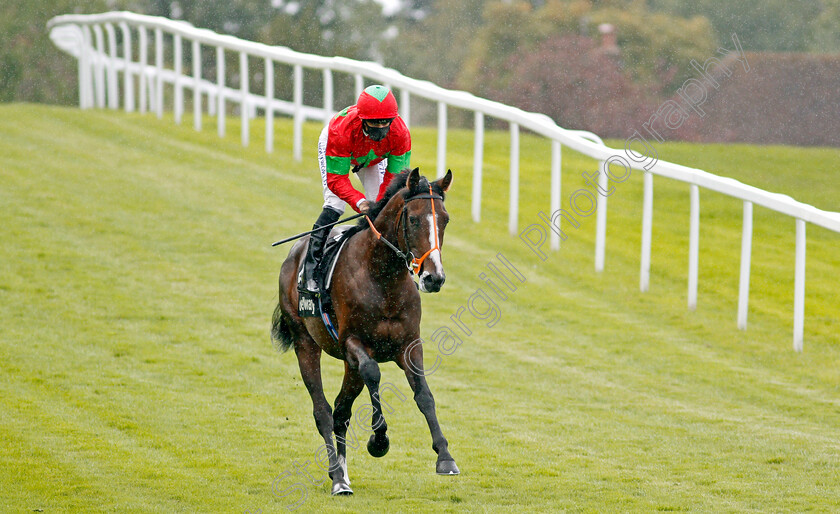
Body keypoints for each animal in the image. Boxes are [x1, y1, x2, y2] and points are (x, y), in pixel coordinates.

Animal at [270, 167, 460, 492]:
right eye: (413, 219)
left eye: (445, 219)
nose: (434, 278)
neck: (383, 278)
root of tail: (294, 252)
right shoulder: (353, 343)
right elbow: (373, 372)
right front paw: (379, 440)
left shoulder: (409, 345)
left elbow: (424, 394)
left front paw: (445, 457)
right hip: (306, 342)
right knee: (322, 411)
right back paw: (337, 477)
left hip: (349, 366)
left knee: (340, 411)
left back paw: (344, 474)